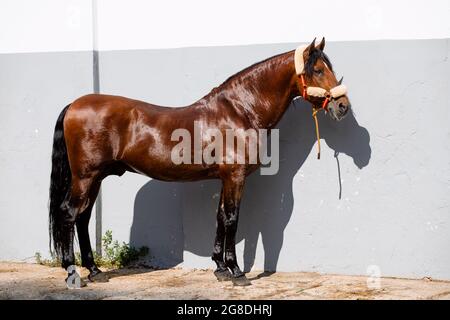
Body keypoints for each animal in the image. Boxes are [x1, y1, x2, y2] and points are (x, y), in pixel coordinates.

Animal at [50, 38, 352, 288]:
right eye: (318, 70)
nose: (343, 107)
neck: (241, 111)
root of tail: (74, 105)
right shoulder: (235, 177)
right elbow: (232, 219)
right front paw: (236, 272)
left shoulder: (225, 178)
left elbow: (219, 217)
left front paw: (219, 268)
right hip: (86, 177)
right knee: (68, 213)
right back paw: (73, 273)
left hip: (95, 178)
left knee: (83, 218)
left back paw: (95, 271)